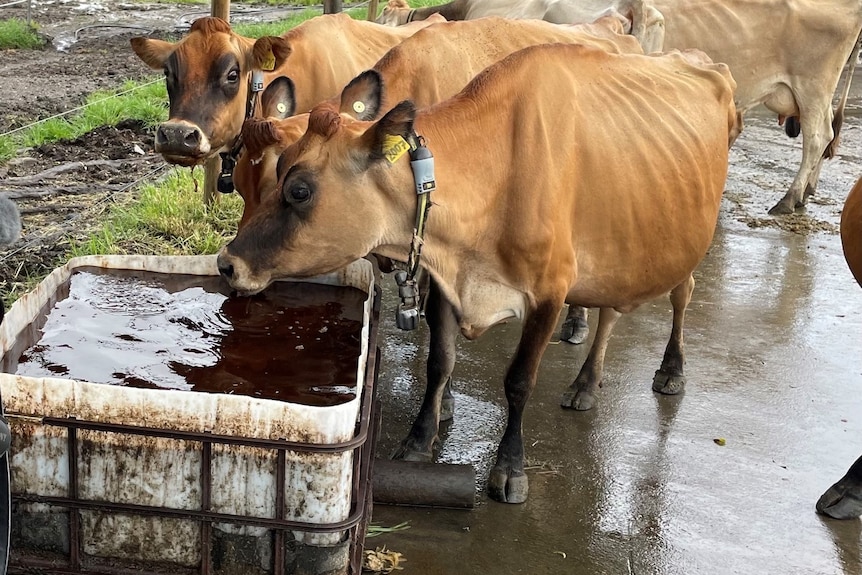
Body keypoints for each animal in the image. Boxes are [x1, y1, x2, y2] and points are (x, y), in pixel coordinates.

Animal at [219, 44, 740, 504]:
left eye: (300, 190)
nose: (228, 262)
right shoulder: (447, 282)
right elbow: (439, 362)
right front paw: (418, 441)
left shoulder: (550, 292)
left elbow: (519, 381)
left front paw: (509, 470)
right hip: (620, 251)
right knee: (610, 310)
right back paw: (585, 384)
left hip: (684, 244)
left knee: (682, 295)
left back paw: (671, 370)